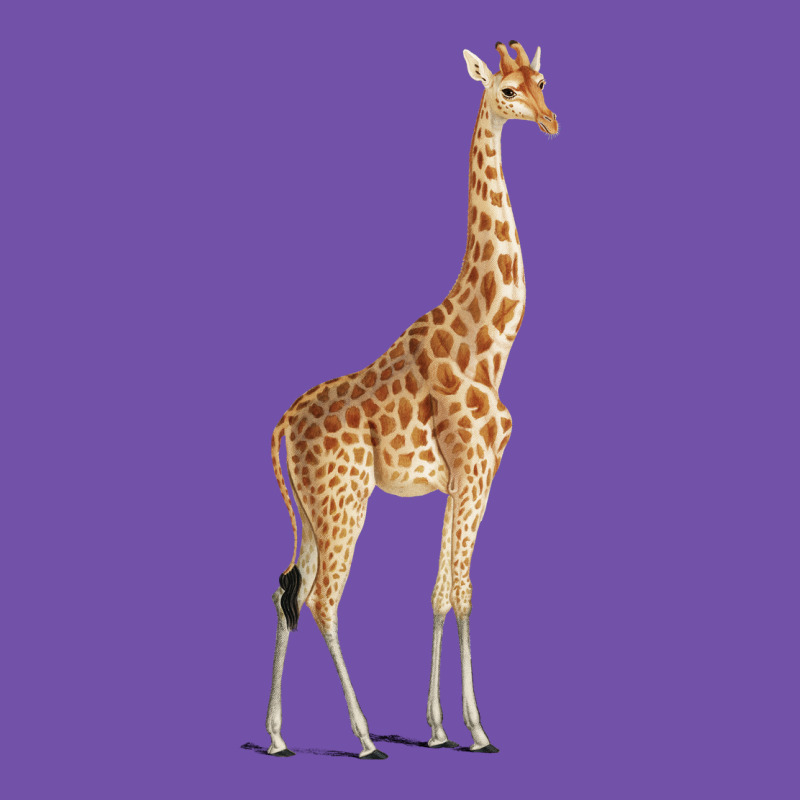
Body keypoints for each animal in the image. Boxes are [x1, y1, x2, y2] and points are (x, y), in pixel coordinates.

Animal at [265, 40, 558, 759]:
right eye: (507, 90)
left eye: (543, 81)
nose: (550, 122)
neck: (490, 344)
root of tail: (285, 421)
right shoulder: (475, 470)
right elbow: (465, 589)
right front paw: (476, 729)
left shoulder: (463, 479)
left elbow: (440, 592)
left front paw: (438, 726)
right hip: (344, 501)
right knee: (323, 599)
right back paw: (365, 737)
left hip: (313, 508)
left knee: (288, 588)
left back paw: (279, 736)